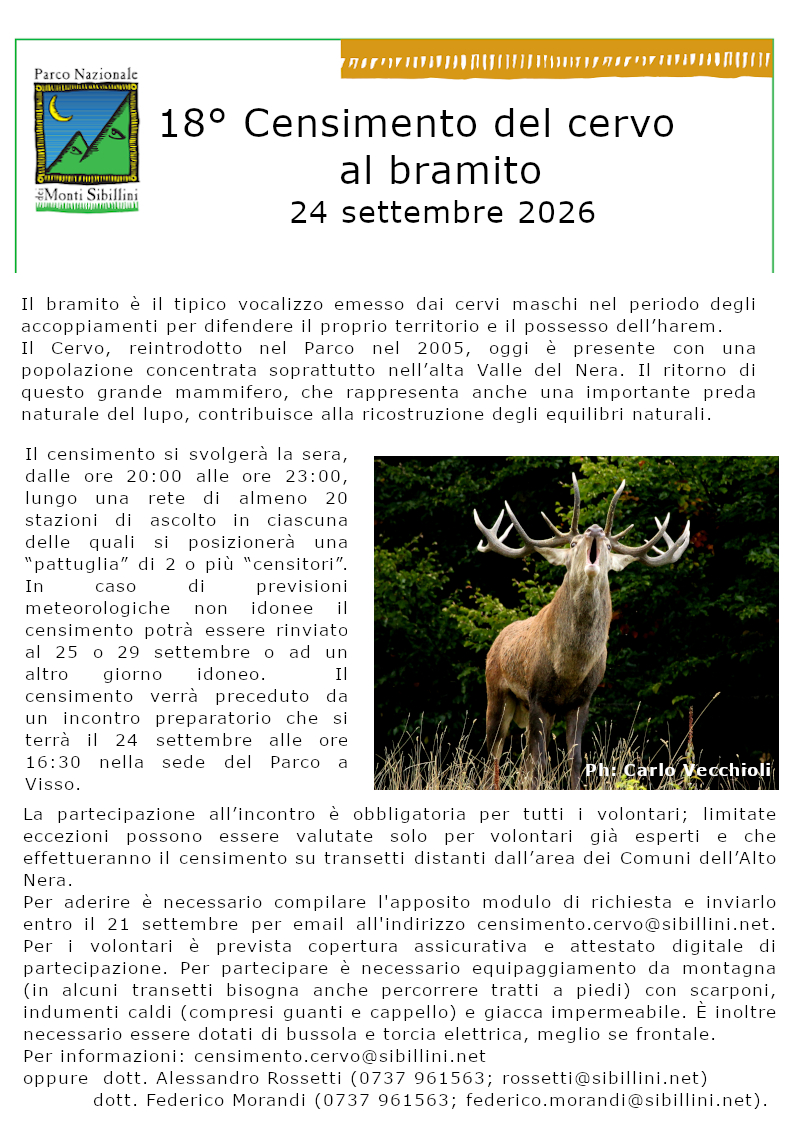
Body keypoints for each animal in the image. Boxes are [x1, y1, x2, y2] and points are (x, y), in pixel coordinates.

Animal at [473, 475, 690, 790]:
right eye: (574, 542)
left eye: (610, 547)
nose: (595, 530)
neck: (570, 670)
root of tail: (497, 642)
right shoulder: (538, 695)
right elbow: (540, 763)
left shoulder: (582, 700)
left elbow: (573, 761)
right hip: (497, 692)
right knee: (494, 753)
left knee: (522, 761)